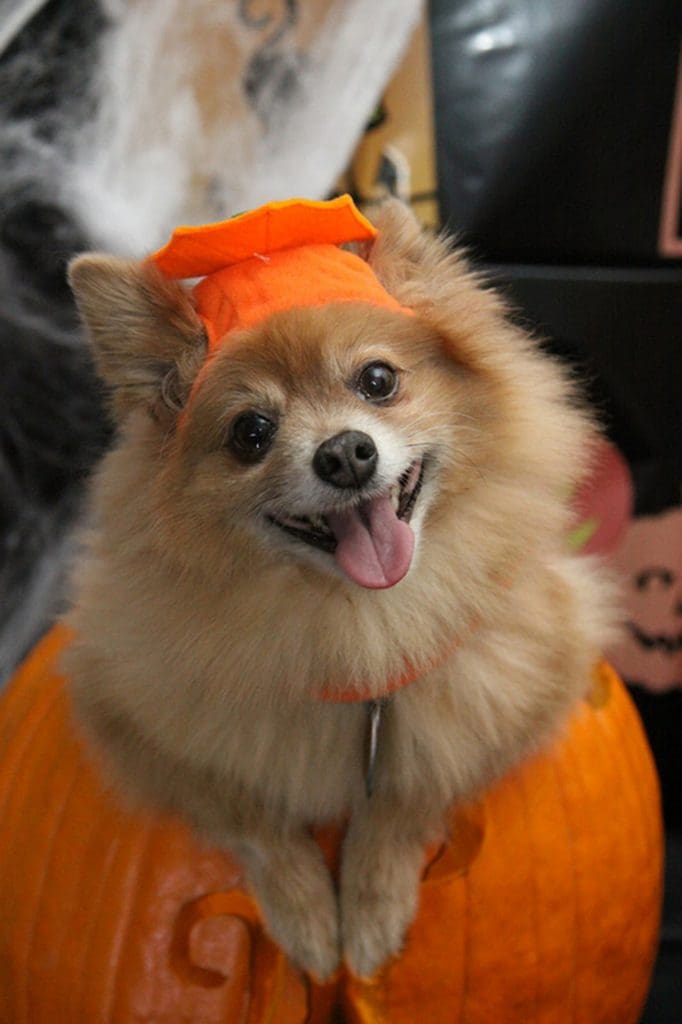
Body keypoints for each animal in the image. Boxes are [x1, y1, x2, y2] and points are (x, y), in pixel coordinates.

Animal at [63, 197, 610, 974]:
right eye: (251, 432)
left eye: (377, 380)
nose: (346, 453)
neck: (360, 620)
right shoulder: (128, 720)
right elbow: (252, 815)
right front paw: (311, 918)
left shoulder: (532, 689)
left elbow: (411, 790)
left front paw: (372, 905)